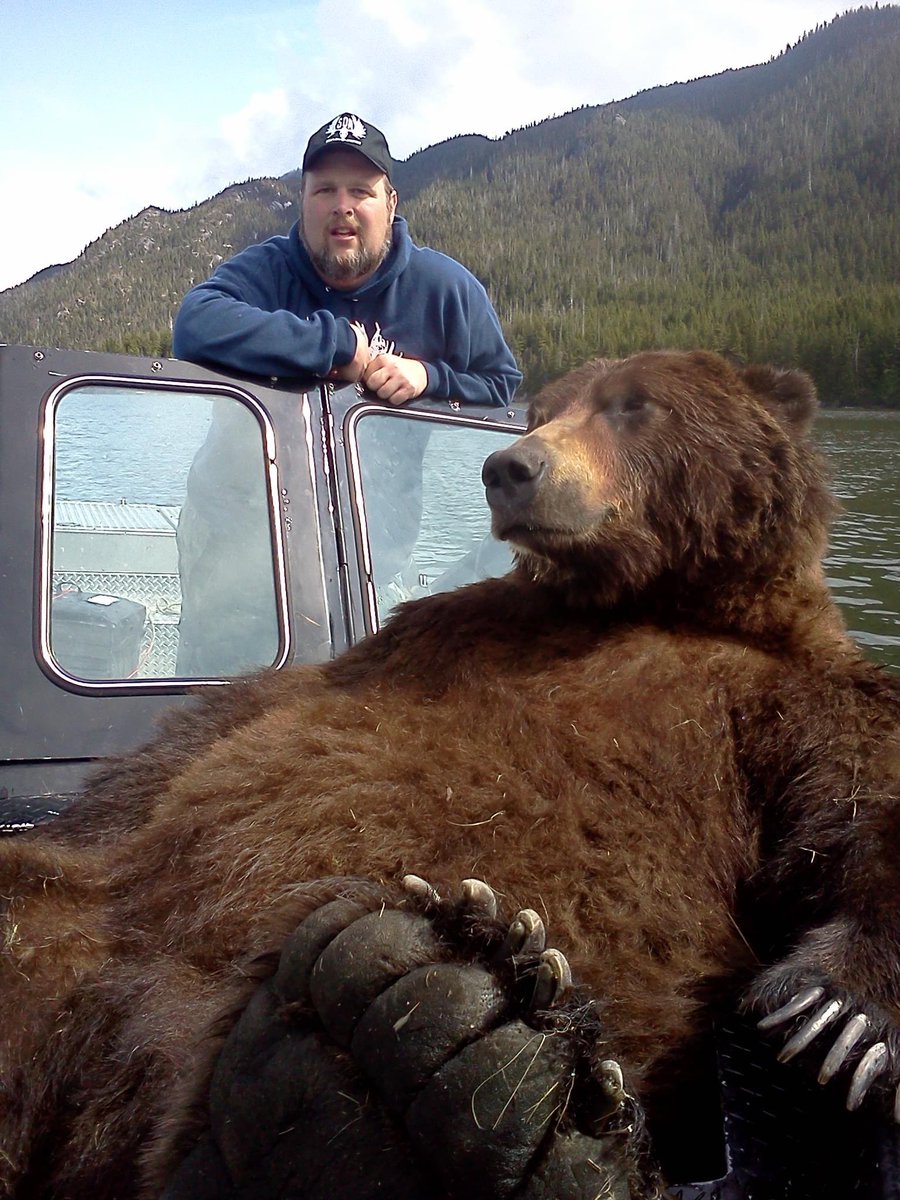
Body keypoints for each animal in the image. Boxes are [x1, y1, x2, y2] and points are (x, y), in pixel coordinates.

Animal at [0, 349, 898, 1199]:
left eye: (633, 403)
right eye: (545, 409)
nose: (511, 467)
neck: (643, 601)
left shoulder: (781, 699)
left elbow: (856, 802)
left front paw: (837, 1012)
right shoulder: (420, 642)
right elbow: (203, 745)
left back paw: (429, 1064)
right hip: (86, 923)